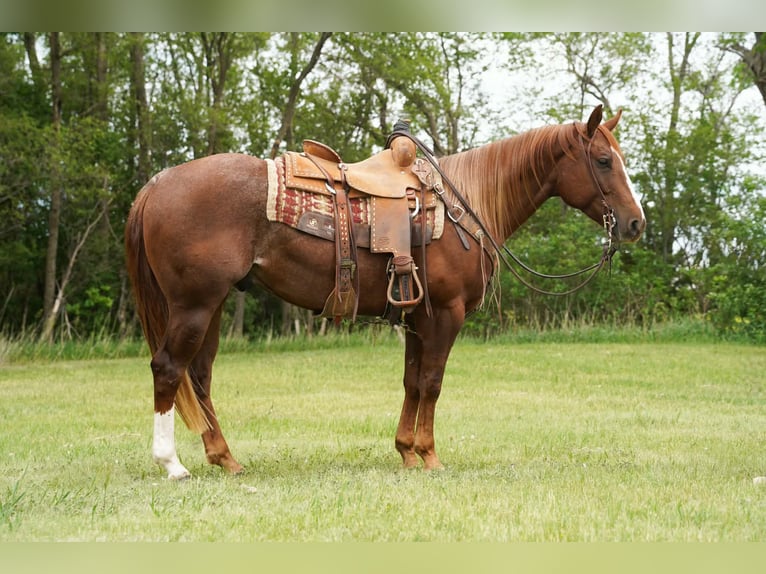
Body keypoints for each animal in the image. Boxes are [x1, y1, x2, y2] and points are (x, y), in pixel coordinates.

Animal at [125, 104, 645, 480]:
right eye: (604, 161)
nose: (636, 223)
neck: (464, 207)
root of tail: (157, 184)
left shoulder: (417, 317)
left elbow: (412, 382)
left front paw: (406, 452)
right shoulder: (445, 314)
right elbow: (432, 382)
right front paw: (430, 456)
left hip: (209, 306)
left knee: (200, 376)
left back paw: (226, 459)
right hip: (194, 305)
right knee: (169, 369)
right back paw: (172, 464)